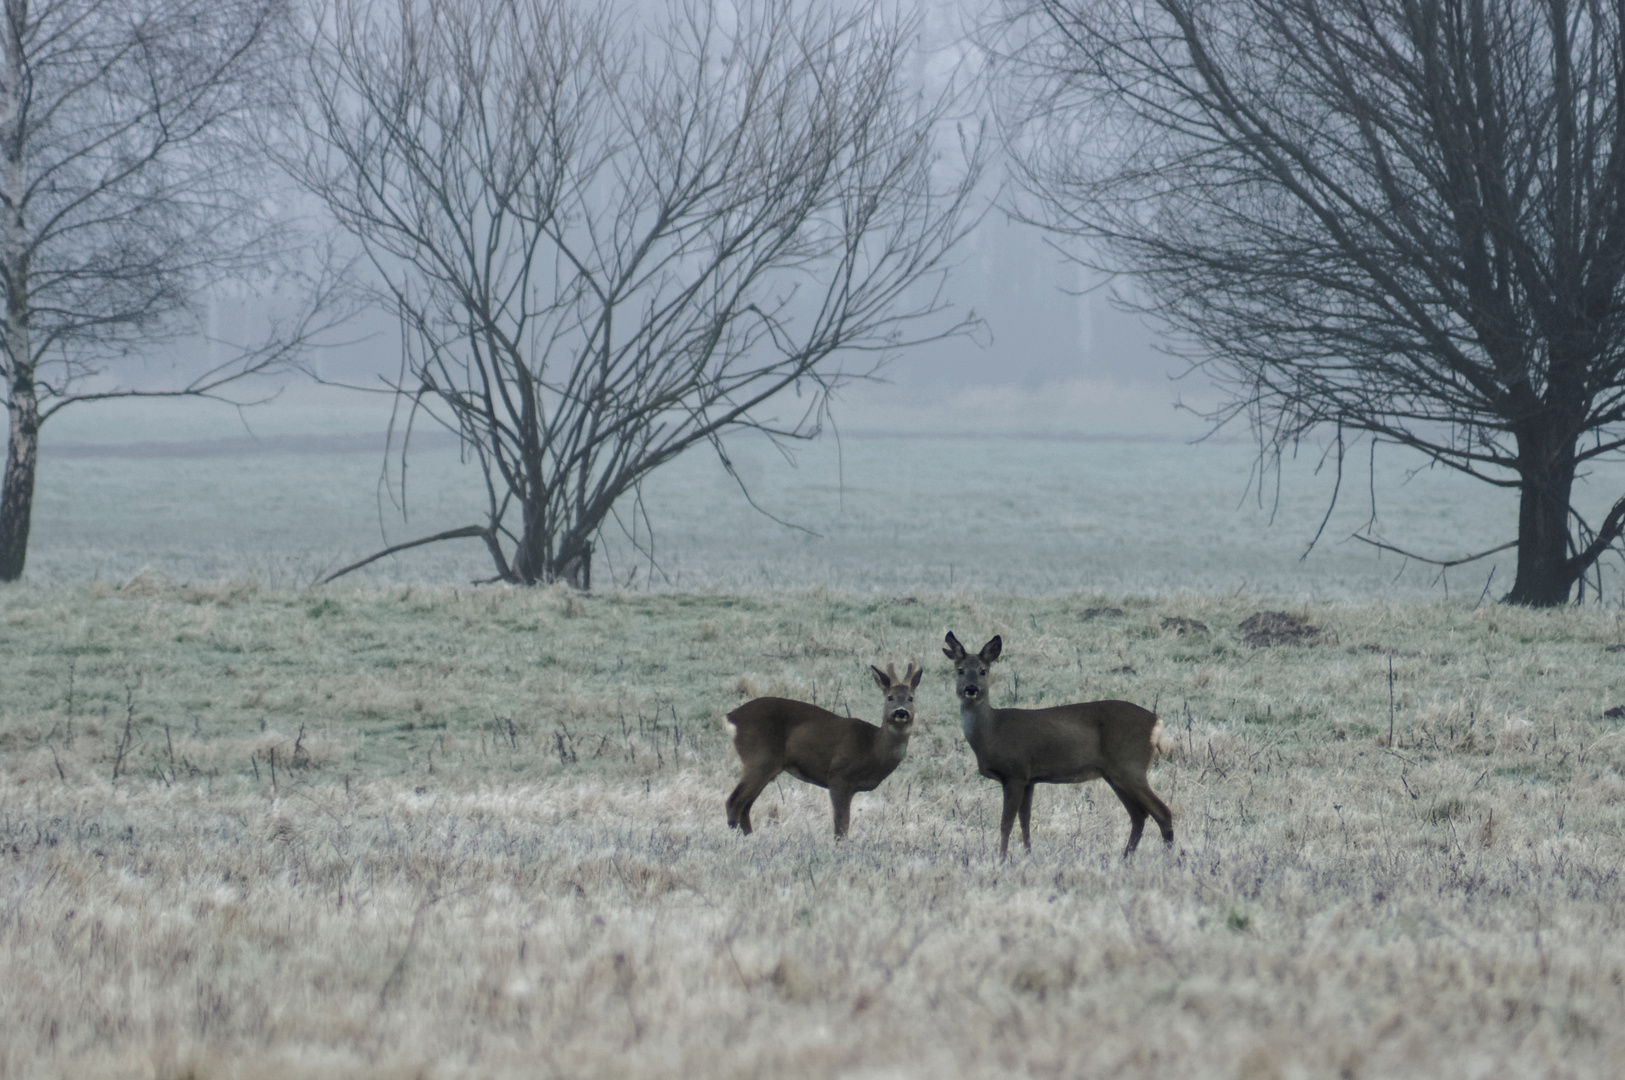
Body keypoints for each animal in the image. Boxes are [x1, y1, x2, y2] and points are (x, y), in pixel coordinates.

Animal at [728, 662, 923, 838]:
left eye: (911, 698)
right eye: (889, 697)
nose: (901, 712)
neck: (872, 749)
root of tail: (732, 717)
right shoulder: (838, 777)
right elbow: (841, 826)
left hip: (766, 767)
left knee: (745, 806)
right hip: (759, 757)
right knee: (734, 802)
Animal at [949, 626, 1176, 857]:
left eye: (983, 670)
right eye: (959, 669)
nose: (971, 688)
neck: (992, 731)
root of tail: (1156, 722)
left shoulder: (1015, 773)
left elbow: (1006, 823)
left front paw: (1002, 858)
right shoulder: (1029, 779)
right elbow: (1025, 821)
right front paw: (1028, 855)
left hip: (1130, 765)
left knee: (1162, 812)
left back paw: (1166, 857)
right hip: (1115, 774)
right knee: (1139, 815)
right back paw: (1126, 857)